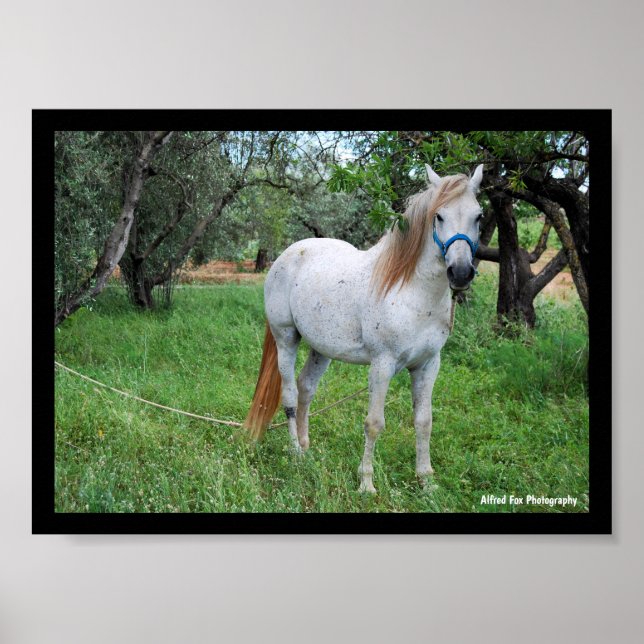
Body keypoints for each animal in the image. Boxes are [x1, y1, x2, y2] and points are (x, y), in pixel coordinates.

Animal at [244, 164, 484, 493]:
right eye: (439, 216)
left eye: (479, 216)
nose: (460, 273)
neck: (411, 291)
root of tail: (287, 255)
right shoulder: (382, 365)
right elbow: (374, 423)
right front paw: (366, 484)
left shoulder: (428, 365)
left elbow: (424, 421)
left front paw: (426, 481)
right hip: (286, 339)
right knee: (291, 394)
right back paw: (295, 454)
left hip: (321, 349)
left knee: (306, 389)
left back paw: (306, 448)